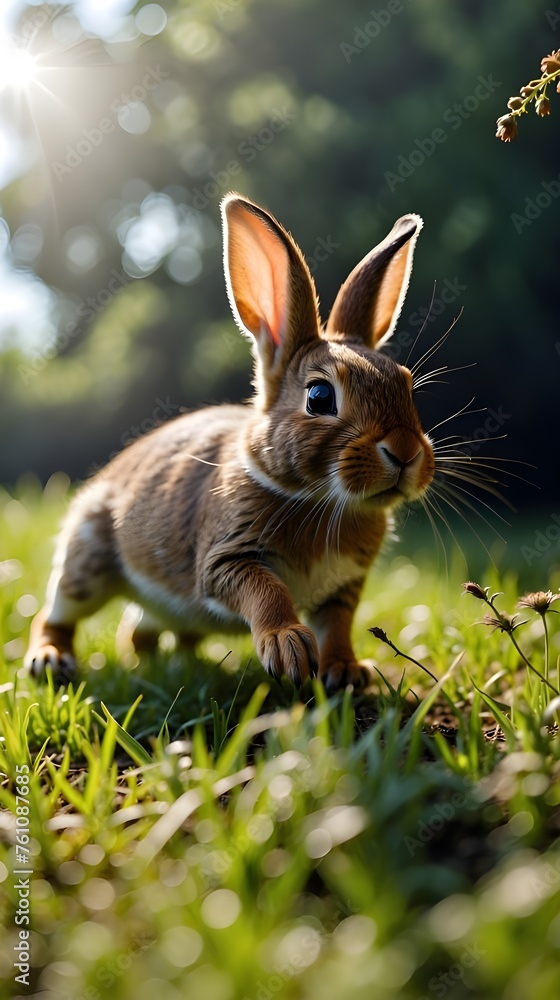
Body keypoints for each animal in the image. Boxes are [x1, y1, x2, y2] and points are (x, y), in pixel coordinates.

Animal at [26, 195, 436, 696]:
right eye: (319, 397)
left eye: (407, 385)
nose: (405, 453)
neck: (317, 499)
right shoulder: (227, 557)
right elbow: (265, 590)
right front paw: (288, 647)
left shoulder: (343, 588)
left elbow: (337, 626)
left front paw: (345, 671)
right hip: (85, 560)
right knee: (56, 613)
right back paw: (50, 660)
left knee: (140, 632)